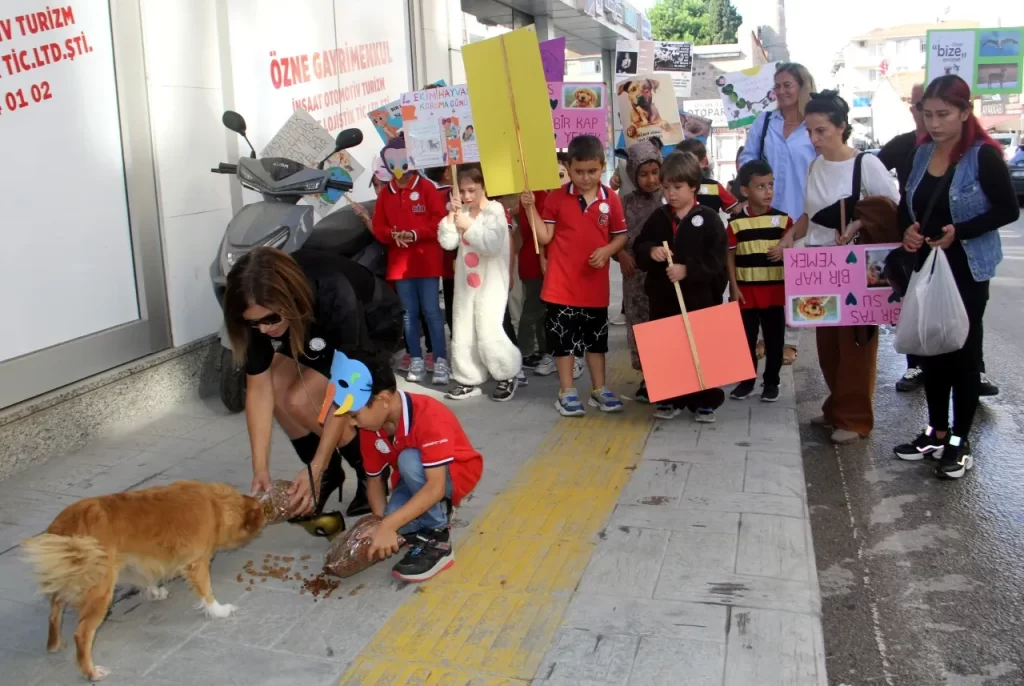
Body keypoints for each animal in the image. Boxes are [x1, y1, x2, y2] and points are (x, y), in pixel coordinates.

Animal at [19, 481, 264, 683]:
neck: (215, 505)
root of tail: (67, 527)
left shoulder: (142, 560)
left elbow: (147, 578)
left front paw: (155, 591)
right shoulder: (197, 563)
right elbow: (207, 592)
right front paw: (219, 611)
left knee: (54, 611)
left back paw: (54, 644)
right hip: (101, 591)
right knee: (82, 634)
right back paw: (91, 672)